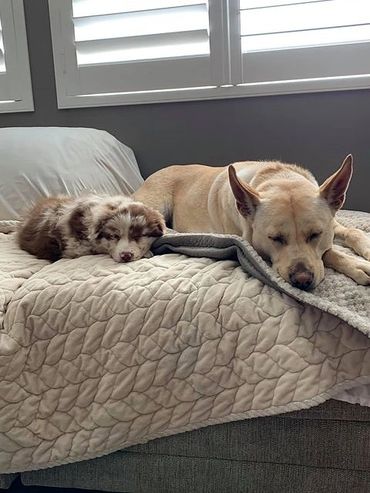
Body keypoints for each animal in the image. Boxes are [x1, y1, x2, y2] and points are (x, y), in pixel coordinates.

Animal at [134, 156, 370, 288]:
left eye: (315, 234)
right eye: (275, 238)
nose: (302, 280)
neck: (278, 178)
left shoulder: (334, 223)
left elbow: (353, 232)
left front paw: (365, 248)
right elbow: (329, 253)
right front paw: (356, 265)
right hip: (155, 206)